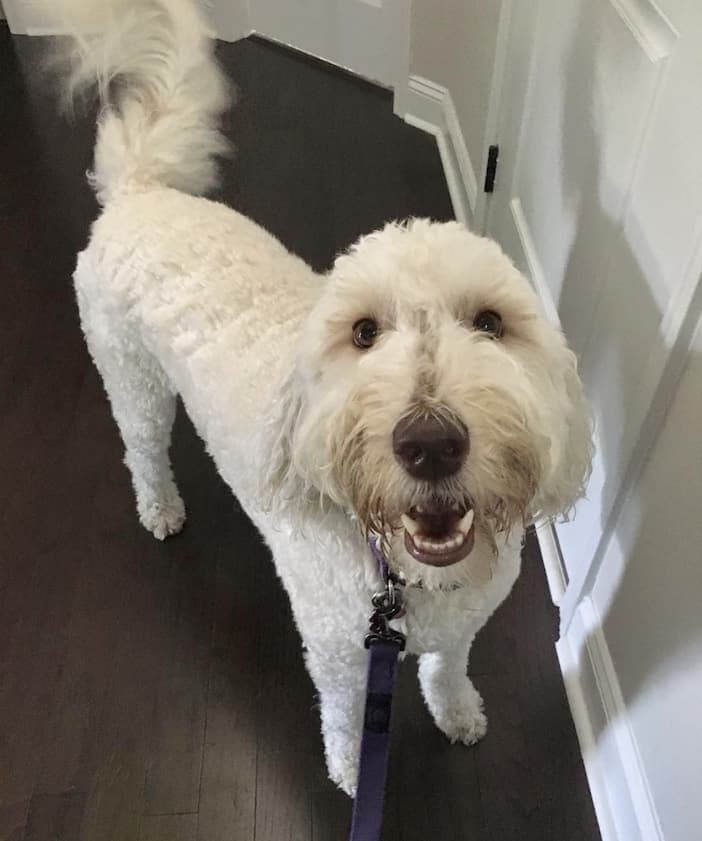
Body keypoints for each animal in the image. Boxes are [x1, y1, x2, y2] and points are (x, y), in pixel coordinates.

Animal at [56, 0, 592, 796]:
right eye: (363, 332)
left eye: (491, 323)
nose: (430, 442)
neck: (407, 582)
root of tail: (143, 190)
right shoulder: (339, 654)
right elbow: (343, 715)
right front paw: (350, 769)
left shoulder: (464, 623)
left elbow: (450, 666)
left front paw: (458, 711)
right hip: (131, 372)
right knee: (143, 448)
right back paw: (161, 507)